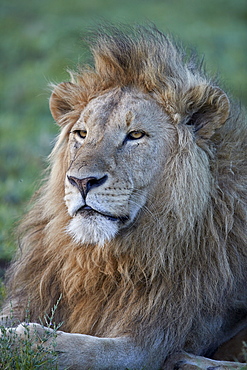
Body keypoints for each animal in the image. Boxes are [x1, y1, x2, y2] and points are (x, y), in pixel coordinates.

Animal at [0, 24, 246, 368]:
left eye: (135, 135)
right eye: (82, 134)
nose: (81, 181)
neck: (101, 260)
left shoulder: (146, 345)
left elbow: (74, 348)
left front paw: (20, 339)